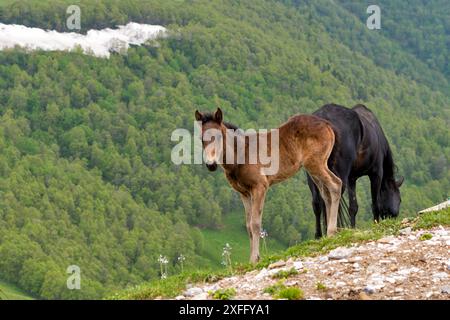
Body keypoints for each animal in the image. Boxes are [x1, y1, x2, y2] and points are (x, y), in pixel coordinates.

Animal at [194, 107, 342, 262]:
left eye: (219, 137)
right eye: (201, 139)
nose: (211, 165)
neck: (241, 155)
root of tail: (327, 124)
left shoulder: (260, 187)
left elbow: (255, 223)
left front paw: (254, 259)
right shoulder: (244, 193)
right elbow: (248, 225)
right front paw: (252, 258)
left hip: (315, 164)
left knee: (336, 185)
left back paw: (332, 232)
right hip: (314, 169)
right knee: (326, 194)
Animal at [308, 103, 402, 238]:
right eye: (400, 199)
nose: (394, 217)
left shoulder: (352, 179)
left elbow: (353, 207)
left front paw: (352, 228)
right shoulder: (376, 174)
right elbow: (375, 204)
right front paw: (376, 224)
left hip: (313, 175)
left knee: (317, 203)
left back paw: (319, 235)